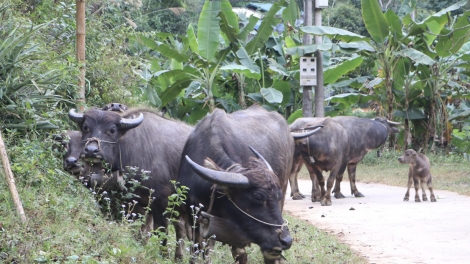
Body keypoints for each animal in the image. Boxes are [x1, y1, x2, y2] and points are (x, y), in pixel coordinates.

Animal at [68, 106, 193, 258]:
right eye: (86, 127)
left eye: (112, 130)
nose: (91, 150)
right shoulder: (134, 203)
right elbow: (138, 231)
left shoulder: (162, 203)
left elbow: (161, 233)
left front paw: (163, 255)